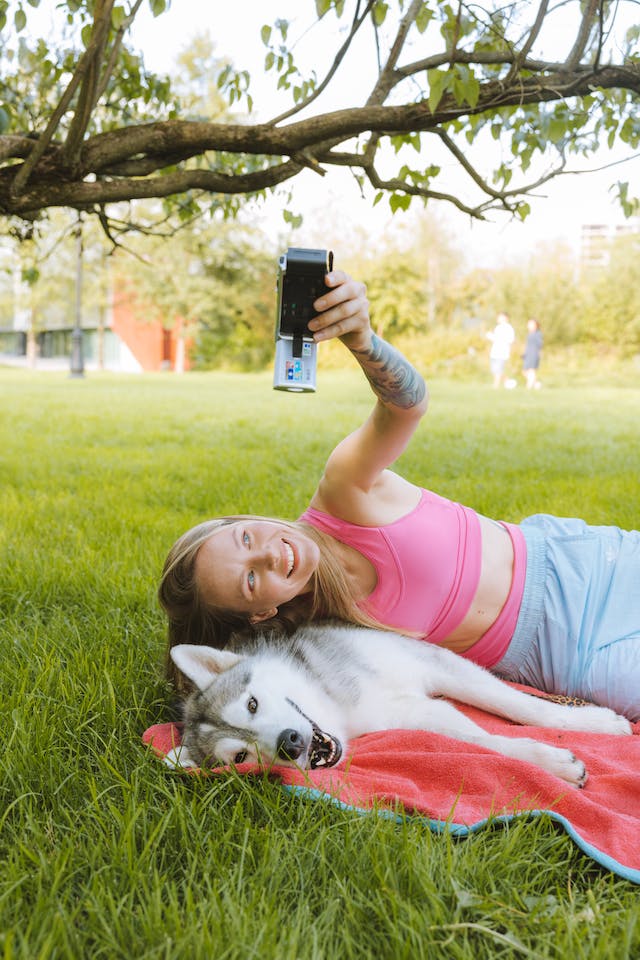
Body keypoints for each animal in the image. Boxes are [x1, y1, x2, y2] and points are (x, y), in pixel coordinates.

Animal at [168, 624, 632, 788]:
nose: (289, 742)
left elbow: (516, 704)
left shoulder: (435, 661)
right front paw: (552, 762)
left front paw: (594, 722)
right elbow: (488, 741)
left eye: (251, 703)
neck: (336, 701)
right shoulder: (414, 715)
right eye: (240, 756)